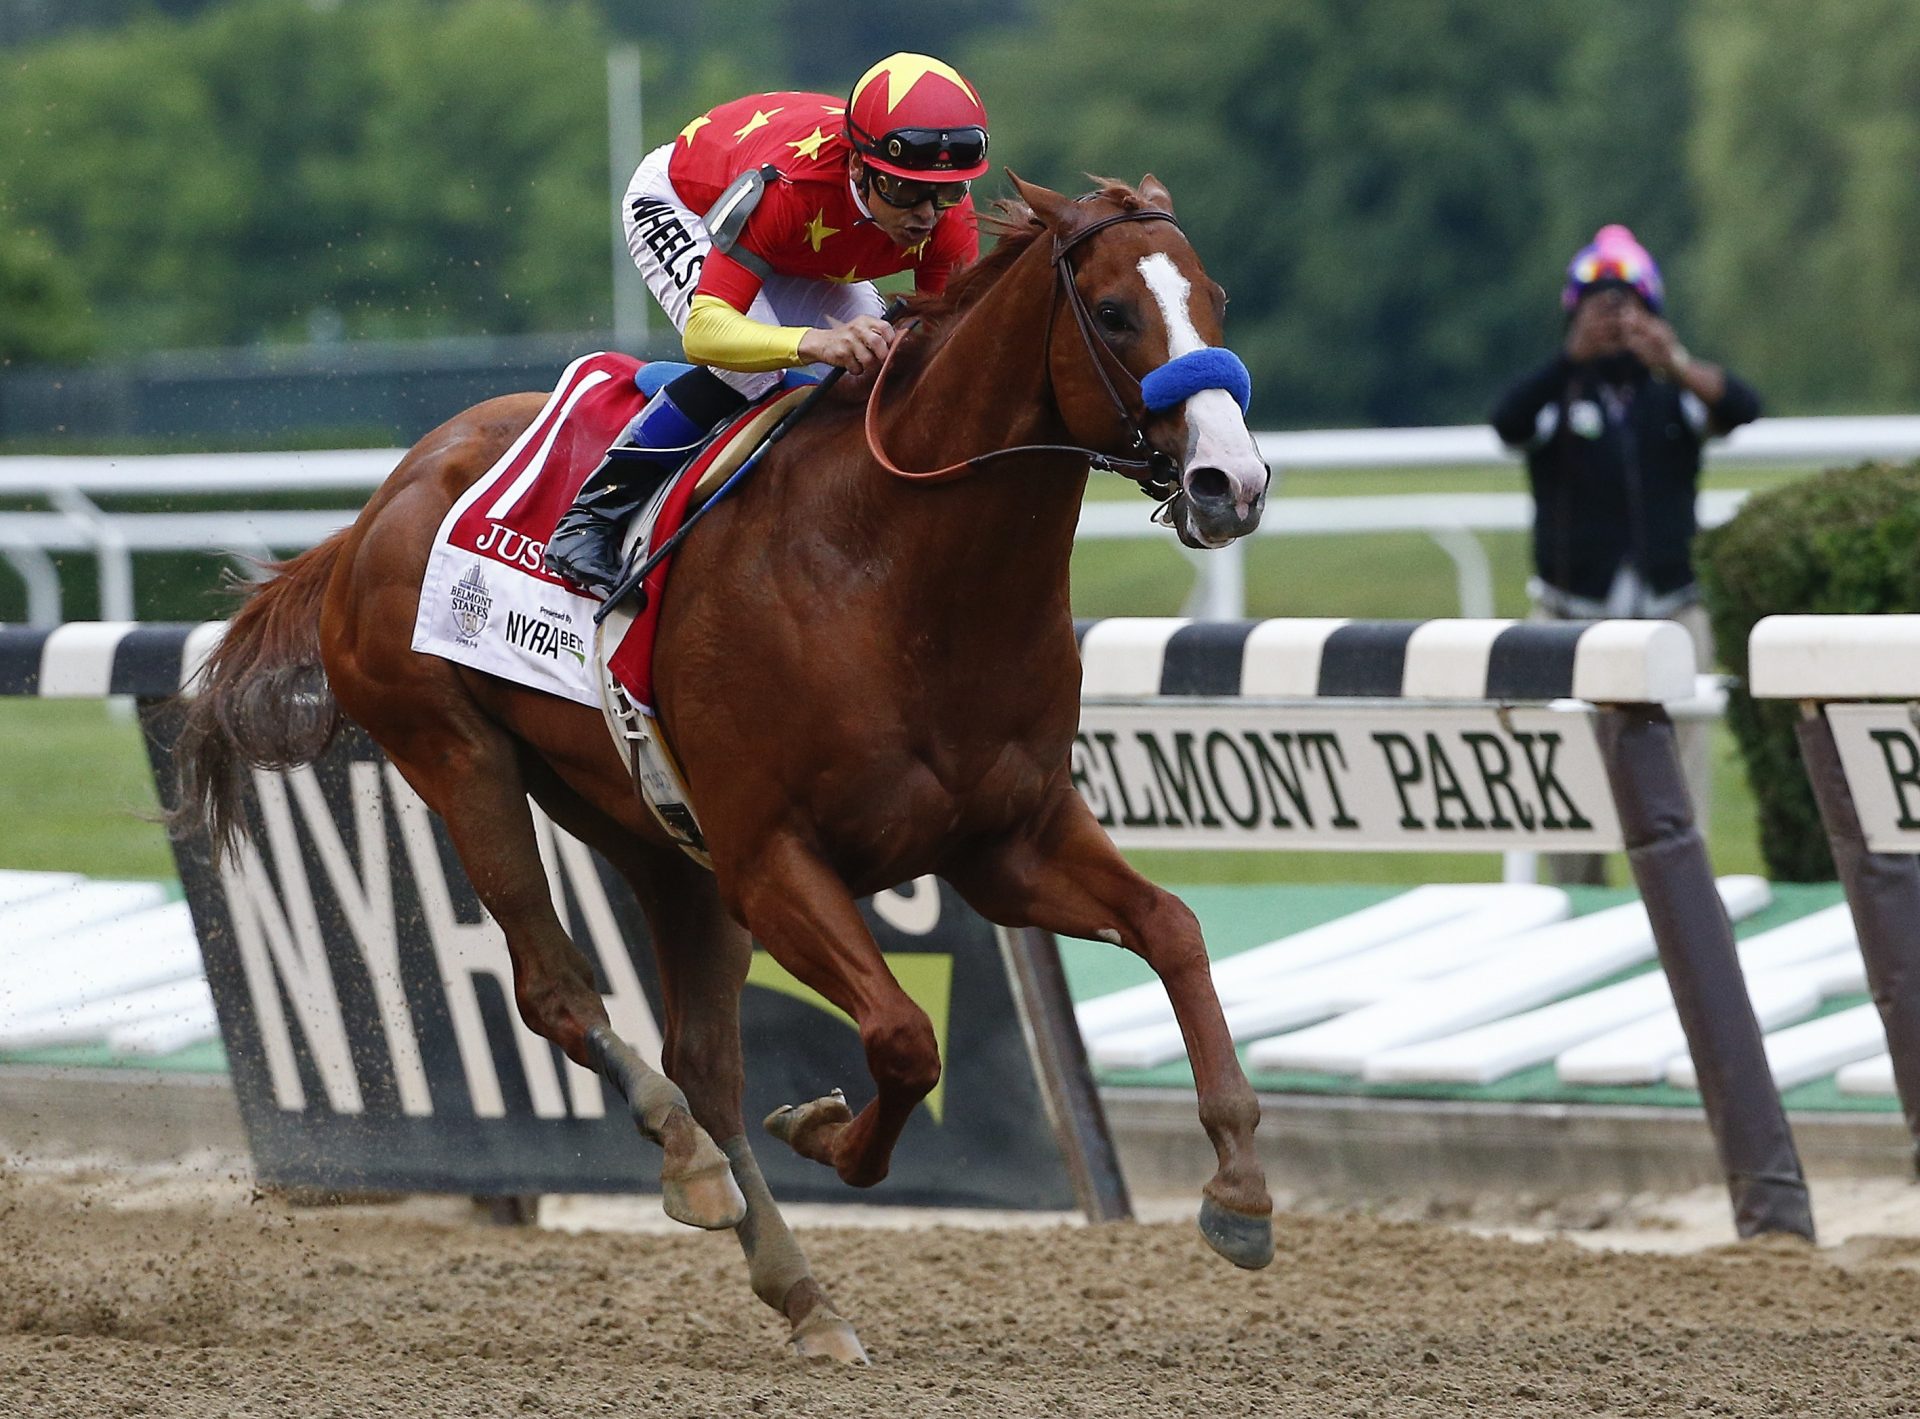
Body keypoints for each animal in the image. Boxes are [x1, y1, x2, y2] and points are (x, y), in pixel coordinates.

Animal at [176, 177, 1274, 1367]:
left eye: (1216, 297)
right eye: (1114, 314)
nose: (1233, 482)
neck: (897, 572)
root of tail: (378, 504)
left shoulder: (1006, 841)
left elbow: (1172, 928)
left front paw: (1240, 1192)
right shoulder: (772, 860)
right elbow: (904, 1037)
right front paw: (828, 1131)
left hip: (646, 827)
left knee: (702, 1057)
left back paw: (801, 1290)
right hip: (456, 756)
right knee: (558, 992)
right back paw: (694, 1165)